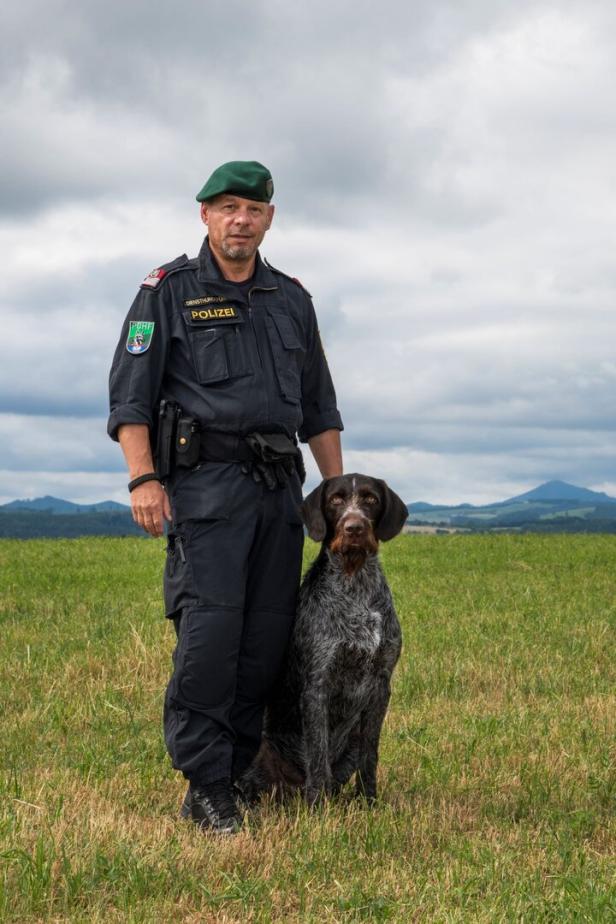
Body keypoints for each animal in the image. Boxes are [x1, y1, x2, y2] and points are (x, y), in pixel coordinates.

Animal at [242, 472, 410, 804]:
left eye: (370, 499)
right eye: (335, 500)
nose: (354, 528)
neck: (354, 583)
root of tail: (291, 791)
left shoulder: (381, 685)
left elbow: (371, 756)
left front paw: (369, 801)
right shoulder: (318, 683)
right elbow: (318, 753)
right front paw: (318, 808)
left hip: (351, 742)